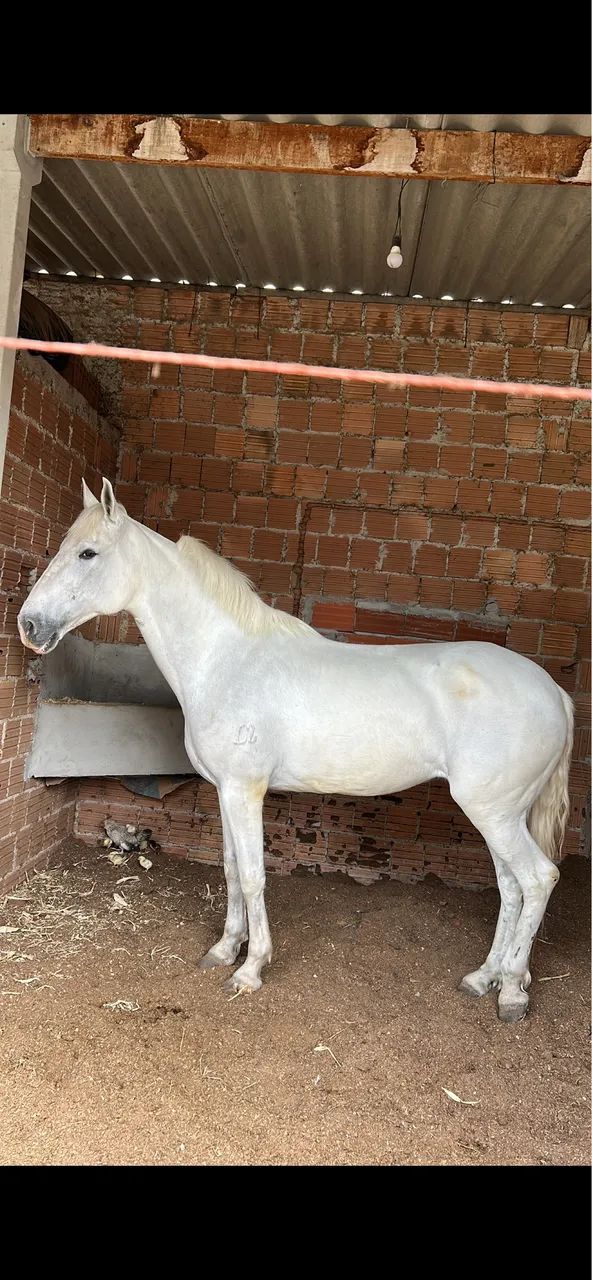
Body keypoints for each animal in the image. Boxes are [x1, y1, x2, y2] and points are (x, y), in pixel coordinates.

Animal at [18, 478, 574, 1022]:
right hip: (500, 814)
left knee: (538, 878)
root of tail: (555, 694)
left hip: (492, 812)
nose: (28, 624)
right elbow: (230, 869)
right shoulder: (224, 791)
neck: (226, 659)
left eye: (88, 552)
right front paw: (225, 949)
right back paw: (484, 978)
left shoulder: (245, 791)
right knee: (510, 887)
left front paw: (250, 969)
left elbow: (253, 876)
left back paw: (511, 993)